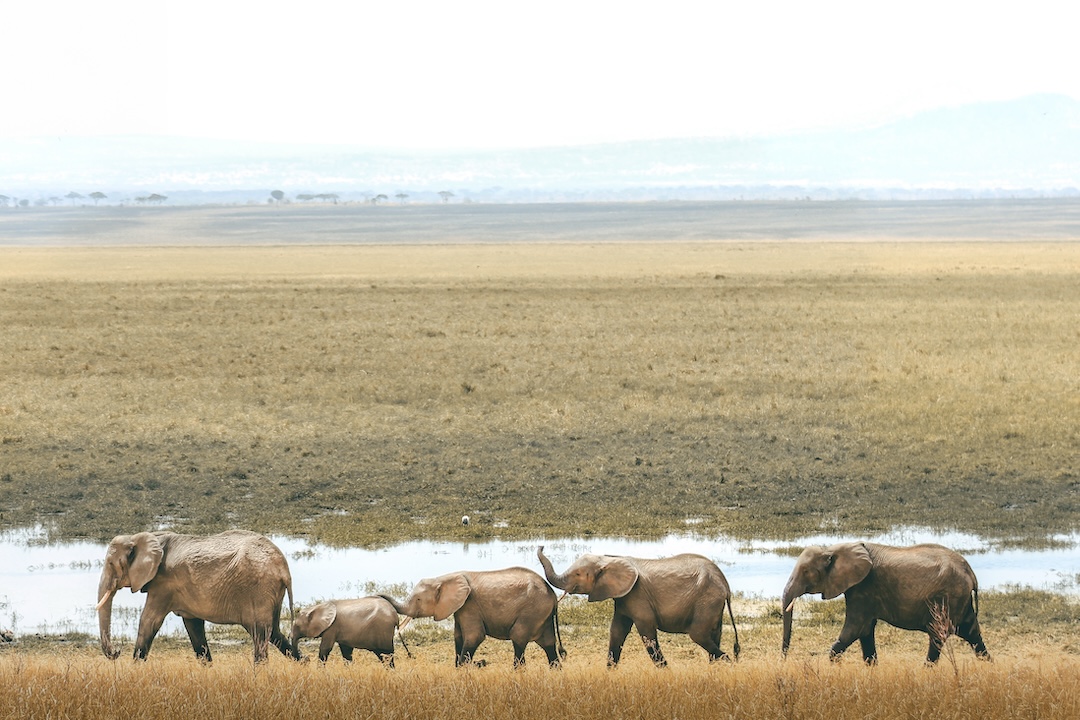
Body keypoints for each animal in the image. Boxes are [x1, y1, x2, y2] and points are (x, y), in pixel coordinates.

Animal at [97, 528, 298, 664]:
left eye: (111, 564)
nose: (117, 652)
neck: (144, 537)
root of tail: (283, 569)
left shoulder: (163, 585)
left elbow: (149, 621)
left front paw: (134, 667)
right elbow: (193, 626)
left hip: (258, 589)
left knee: (260, 633)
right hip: (271, 592)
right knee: (274, 632)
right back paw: (302, 663)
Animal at [380, 565, 565, 669]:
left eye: (418, 600)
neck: (445, 577)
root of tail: (553, 595)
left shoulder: (470, 605)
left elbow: (474, 636)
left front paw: (465, 668)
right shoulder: (460, 608)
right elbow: (458, 636)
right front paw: (458, 668)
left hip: (531, 611)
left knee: (518, 637)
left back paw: (517, 671)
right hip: (542, 615)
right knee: (548, 643)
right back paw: (555, 670)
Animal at [535, 546, 738, 669]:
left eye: (578, 574)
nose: (542, 546)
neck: (609, 559)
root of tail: (725, 585)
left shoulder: (638, 595)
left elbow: (647, 632)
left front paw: (667, 672)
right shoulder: (624, 598)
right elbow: (617, 631)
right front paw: (609, 672)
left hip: (707, 601)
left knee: (699, 635)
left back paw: (728, 664)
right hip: (712, 605)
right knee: (714, 635)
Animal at [781, 539, 989, 664]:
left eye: (806, 571)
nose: (783, 660)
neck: (832, 548)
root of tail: (971, 573)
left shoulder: (863, 588)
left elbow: (854, 629)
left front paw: (834, 666)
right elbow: (865, 631)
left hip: (949, 597)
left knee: (938, 635)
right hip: (960, 599)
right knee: (972, 633)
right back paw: (987, 664)